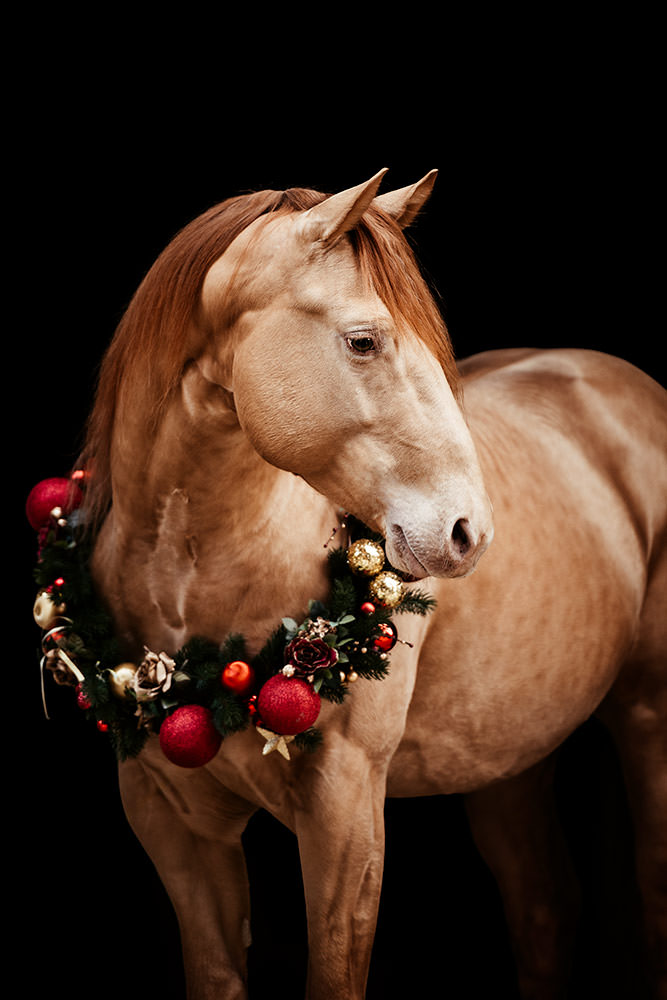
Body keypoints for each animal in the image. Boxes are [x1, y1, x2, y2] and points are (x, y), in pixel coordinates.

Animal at [64, 169, 665, 999]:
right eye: (363, 341)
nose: (466, 531)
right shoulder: (171, 823)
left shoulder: (344, 811)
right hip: (506, 760)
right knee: (543, 910)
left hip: (646, 720)